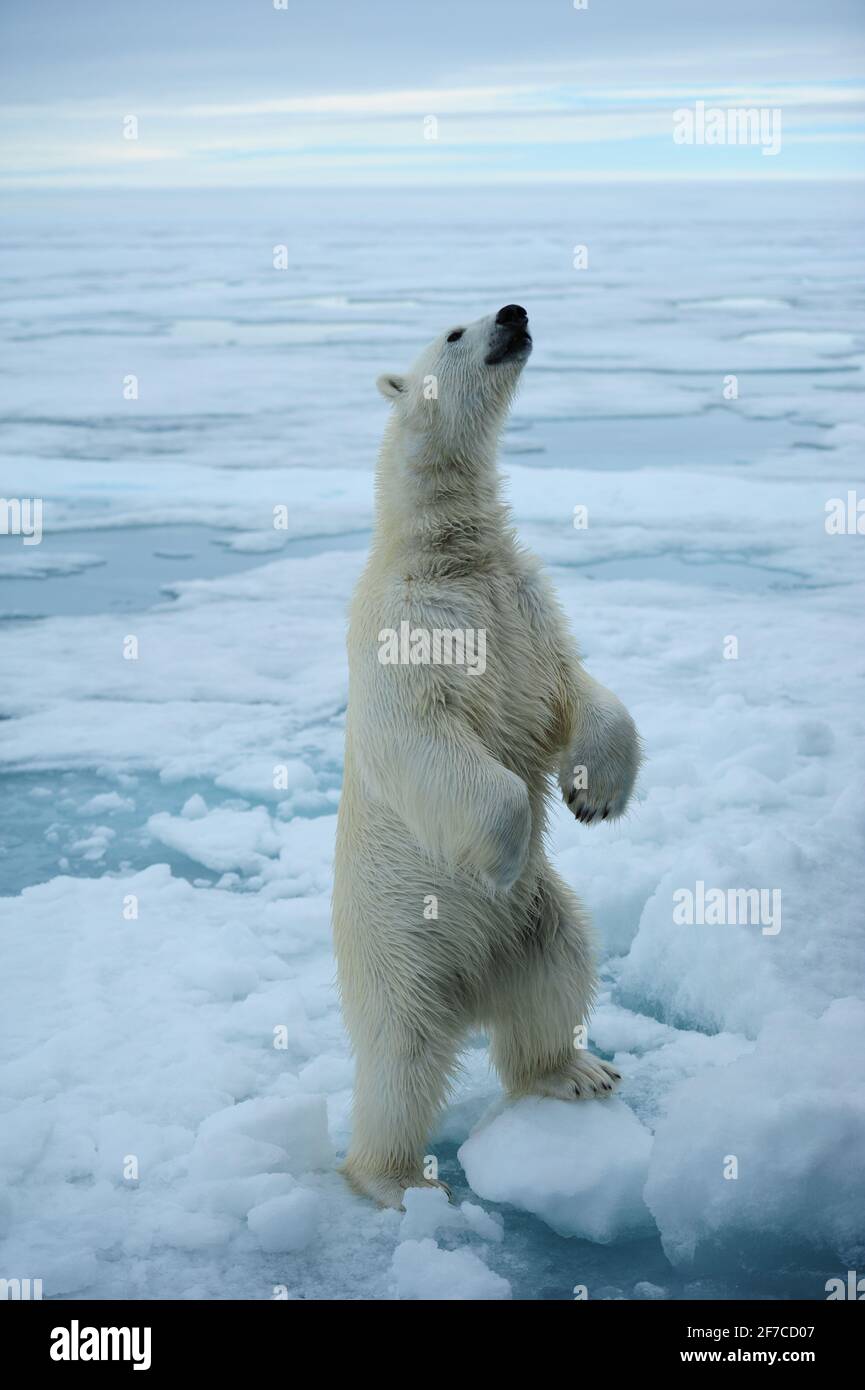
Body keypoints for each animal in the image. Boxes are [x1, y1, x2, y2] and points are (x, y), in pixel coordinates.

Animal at [335, 304, 639, 1206]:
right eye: (452, 333)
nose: (514, 313)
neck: (450, 551)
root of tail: (473, 990)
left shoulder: (524, 606)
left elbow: (575, 691)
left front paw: (593, 794)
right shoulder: (412, 625)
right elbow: (426, 737)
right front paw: (499, 854)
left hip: (539, 926)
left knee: (559, 973)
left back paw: (575, 1071)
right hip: (399, 949)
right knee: (400, 1061)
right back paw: (393, 1179)